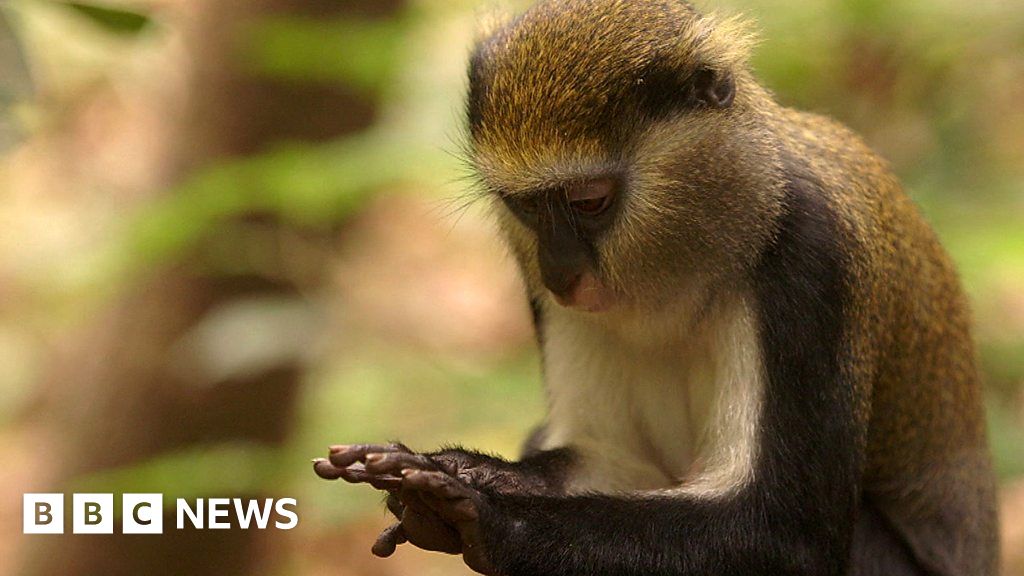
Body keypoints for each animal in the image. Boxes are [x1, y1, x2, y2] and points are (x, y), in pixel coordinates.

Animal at [311, 1, 999, 573]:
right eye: (527, 207)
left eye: (589, 202)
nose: (559, 273)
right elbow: (610, 455)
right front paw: (469, 469)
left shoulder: (812, 258)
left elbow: (781, 532)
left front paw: (488, 516)